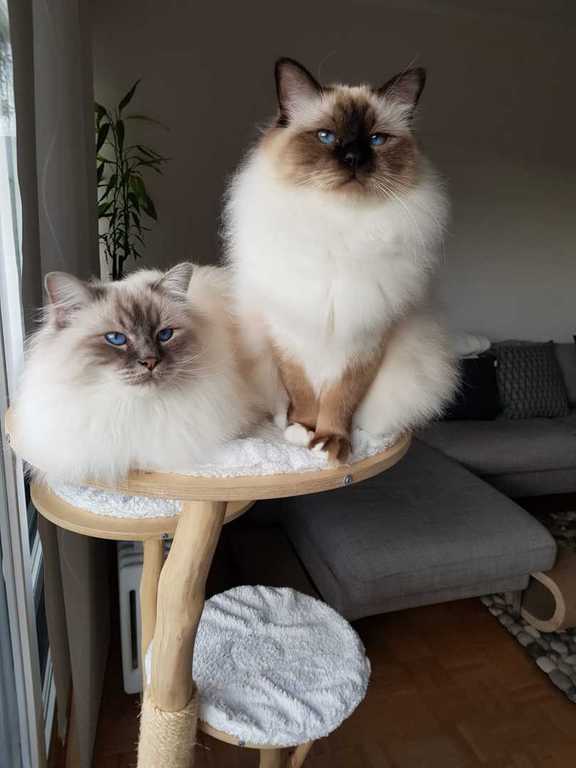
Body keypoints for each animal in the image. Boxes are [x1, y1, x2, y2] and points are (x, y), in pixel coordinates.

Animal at [225, 57, 457, 462]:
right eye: (326, 137)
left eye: (376, 140)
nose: (353, 159)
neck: (338, 229)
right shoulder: (289, 334)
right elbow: (302, 391)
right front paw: (303, 431)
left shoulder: (364, 339)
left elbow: (340, 398)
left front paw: (331, 442)